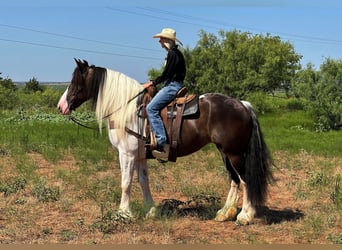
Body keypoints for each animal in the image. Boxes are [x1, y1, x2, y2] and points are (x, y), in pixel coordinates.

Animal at [57, 59, 274, 225]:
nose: (61, 106)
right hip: (224, 152)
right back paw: (224, 213)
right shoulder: (139, 156)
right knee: (234, 180)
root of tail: (242, 105)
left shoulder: (126, 154)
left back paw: (245, 216)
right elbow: (143, 182)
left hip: (235, 153)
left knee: (245, 180)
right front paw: (151, 210)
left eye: (75, 81)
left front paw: (123, 213)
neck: (127, 109)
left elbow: (126, 183)